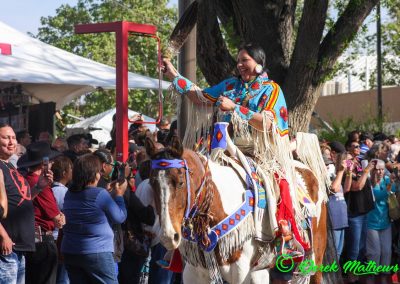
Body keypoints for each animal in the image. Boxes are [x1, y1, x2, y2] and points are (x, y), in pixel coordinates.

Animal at [144, 136, 328, 282]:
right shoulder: (194, 272)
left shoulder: (246, 273)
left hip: (315, 258)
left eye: (180, 182)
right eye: (152, 183)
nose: (168, 236)